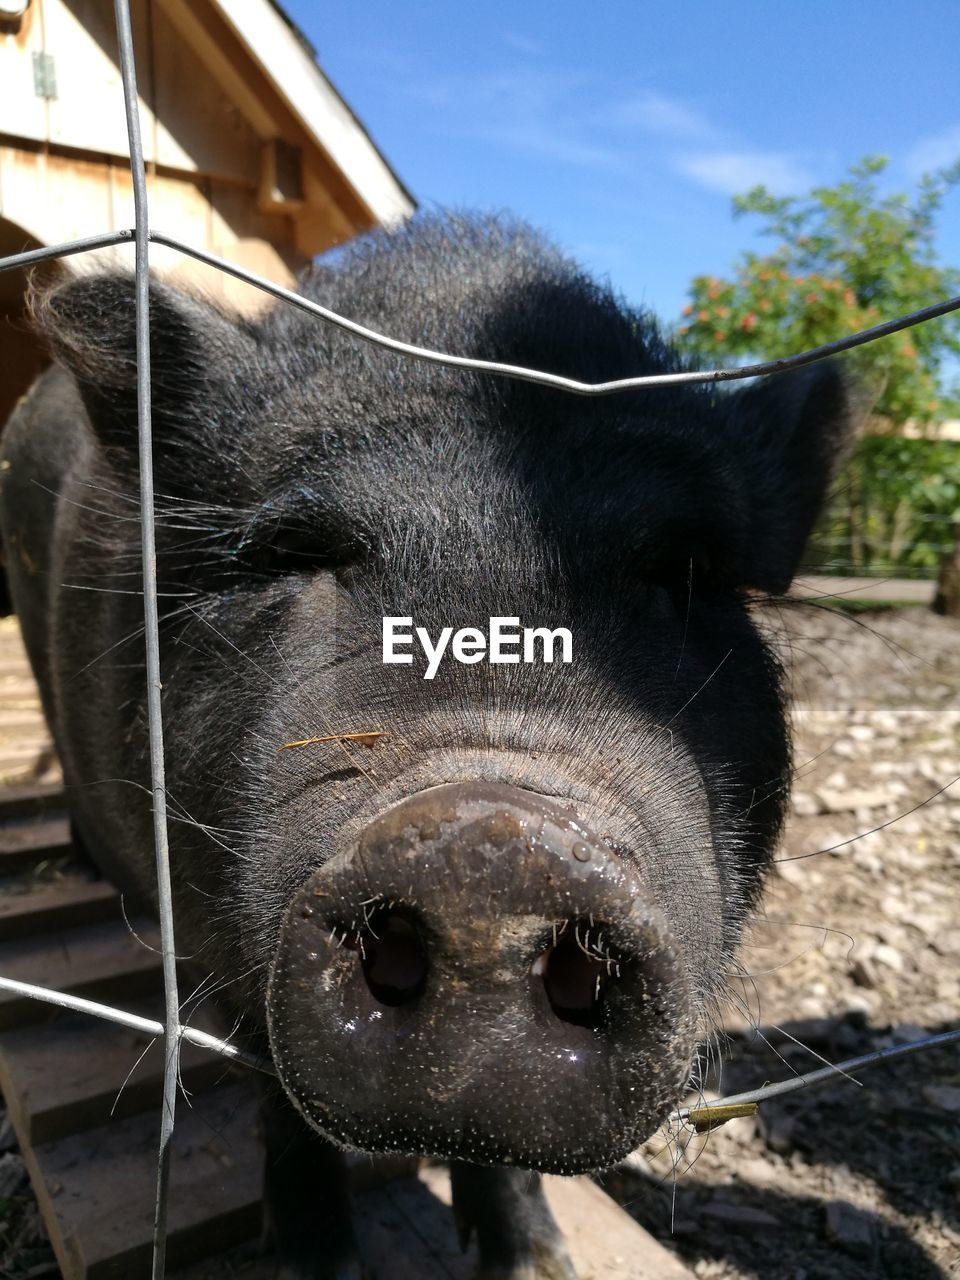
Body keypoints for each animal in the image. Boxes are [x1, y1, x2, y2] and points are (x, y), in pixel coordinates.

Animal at [3, 215, 855, 1274]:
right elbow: (278, 1095)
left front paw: (538, 1262)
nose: (489, 845)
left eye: (685, 569)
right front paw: (317, 1263)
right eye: (295, 553)